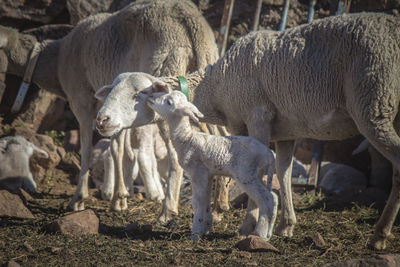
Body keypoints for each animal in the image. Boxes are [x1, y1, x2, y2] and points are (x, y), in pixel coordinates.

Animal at [0, 0, 219, 218]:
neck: (56, 61)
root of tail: (189, 21)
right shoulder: (116, 113)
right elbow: (118, 148)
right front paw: (120, 196)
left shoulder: (81, 102)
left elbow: (88, 150)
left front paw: (81, 199)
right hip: (212, 85)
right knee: (219, 136)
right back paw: (218, 207)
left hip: (167, 87)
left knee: (174, 155)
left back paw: (168, 209)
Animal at [147, 91, 278, 242]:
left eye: (168, 102)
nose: (151, 97)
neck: (187, 139)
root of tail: (268, 154)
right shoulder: (208, 174)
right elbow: (205, 202)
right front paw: (206, 228)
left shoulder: (197, 172)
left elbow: (197, 202)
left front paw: (195, 234)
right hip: (256, 173)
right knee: (274, 197)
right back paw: (268, 234)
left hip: (246, 174)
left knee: (267, 199)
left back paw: (260, 234)